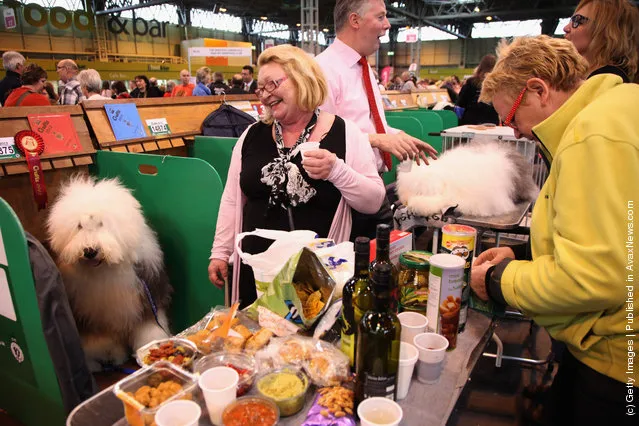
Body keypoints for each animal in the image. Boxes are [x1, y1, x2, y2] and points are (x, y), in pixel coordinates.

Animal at [47, 175, 172, 372]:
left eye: (101, 223)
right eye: (79, 226)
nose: (90, 251)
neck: (106, 270)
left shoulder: (147, 297)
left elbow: (149, 328)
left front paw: (152, 345)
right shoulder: (93, 315)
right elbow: (101, 340)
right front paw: (108, 356)